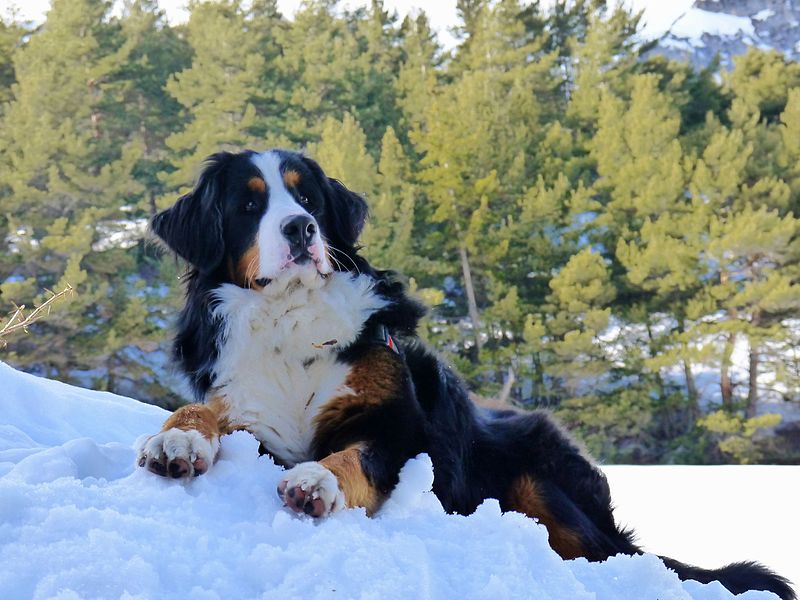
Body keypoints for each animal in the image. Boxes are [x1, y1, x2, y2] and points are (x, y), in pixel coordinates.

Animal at [139, 150, 792, 600]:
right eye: (249, 205)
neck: (291, 326)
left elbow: (356, 456)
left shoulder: (400, 427)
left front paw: (315, 481)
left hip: (541, 485)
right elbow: (201, 413)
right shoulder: (248, 406)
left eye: (311, 201)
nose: (301, 229)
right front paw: (178, 442)